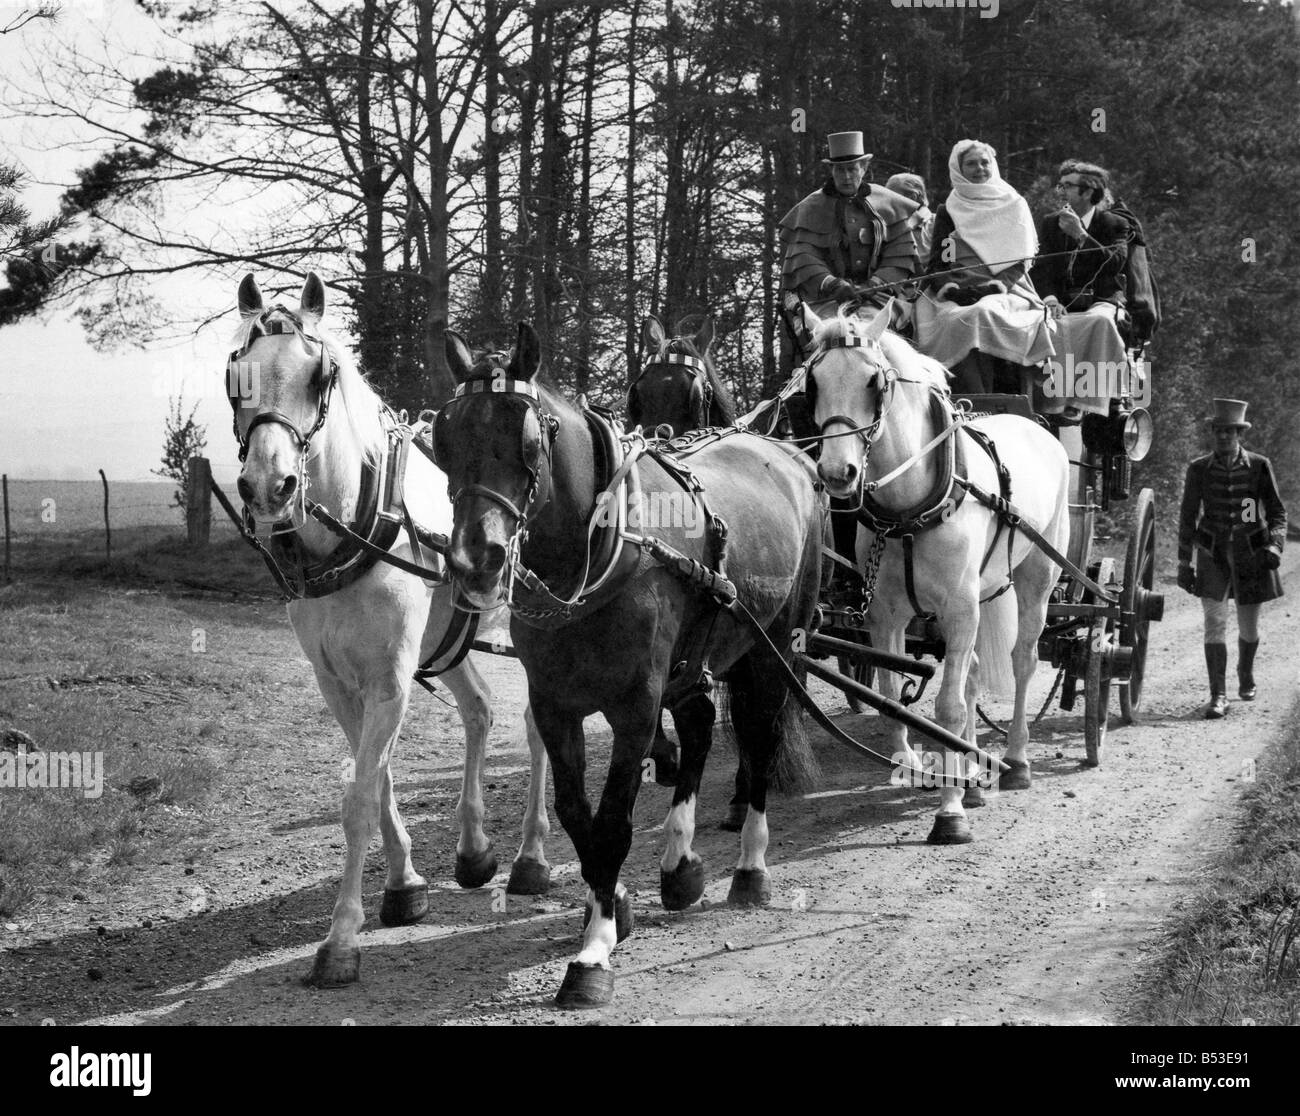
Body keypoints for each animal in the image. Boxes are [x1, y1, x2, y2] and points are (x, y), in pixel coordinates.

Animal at [233, 271, 548, 983]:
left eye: (320, 374)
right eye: (238, 374)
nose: (269, 485)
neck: (350, 530)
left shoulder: (392, 679)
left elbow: (357, 797)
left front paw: (341, 940)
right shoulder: (337, 682)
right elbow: (374, 782)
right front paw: (405, 885)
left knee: (539, 724)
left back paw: (532, 857)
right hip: (450, 638)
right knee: (481, 709)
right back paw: (475, 848)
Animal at [436, 321, 821, 1009]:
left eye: (528, 440)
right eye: (443, 436)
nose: (475, 560)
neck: (600, 549)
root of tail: (789, 455)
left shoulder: (636, 705)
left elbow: (614, 821)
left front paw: (593, 954)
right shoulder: (555, 702)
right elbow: (577, 815)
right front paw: (611, 906)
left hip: (771, 649)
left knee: (758, 737)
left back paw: (750, 868)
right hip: (698, 658)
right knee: (699, 729)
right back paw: (680, 867)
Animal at [806, 300, 1071, 837]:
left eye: (874, 381)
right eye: (813, 381)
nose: (837, 473)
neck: (909, 510)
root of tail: (1037, 427)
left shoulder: (959, 608)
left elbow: (947, 707)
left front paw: (949, 813)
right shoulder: (885, 616)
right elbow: (892, 694)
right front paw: (915, 767)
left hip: (1036, 578)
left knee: (1023, 660)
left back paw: (1015, 760)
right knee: (970, 673)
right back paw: (972, 775)